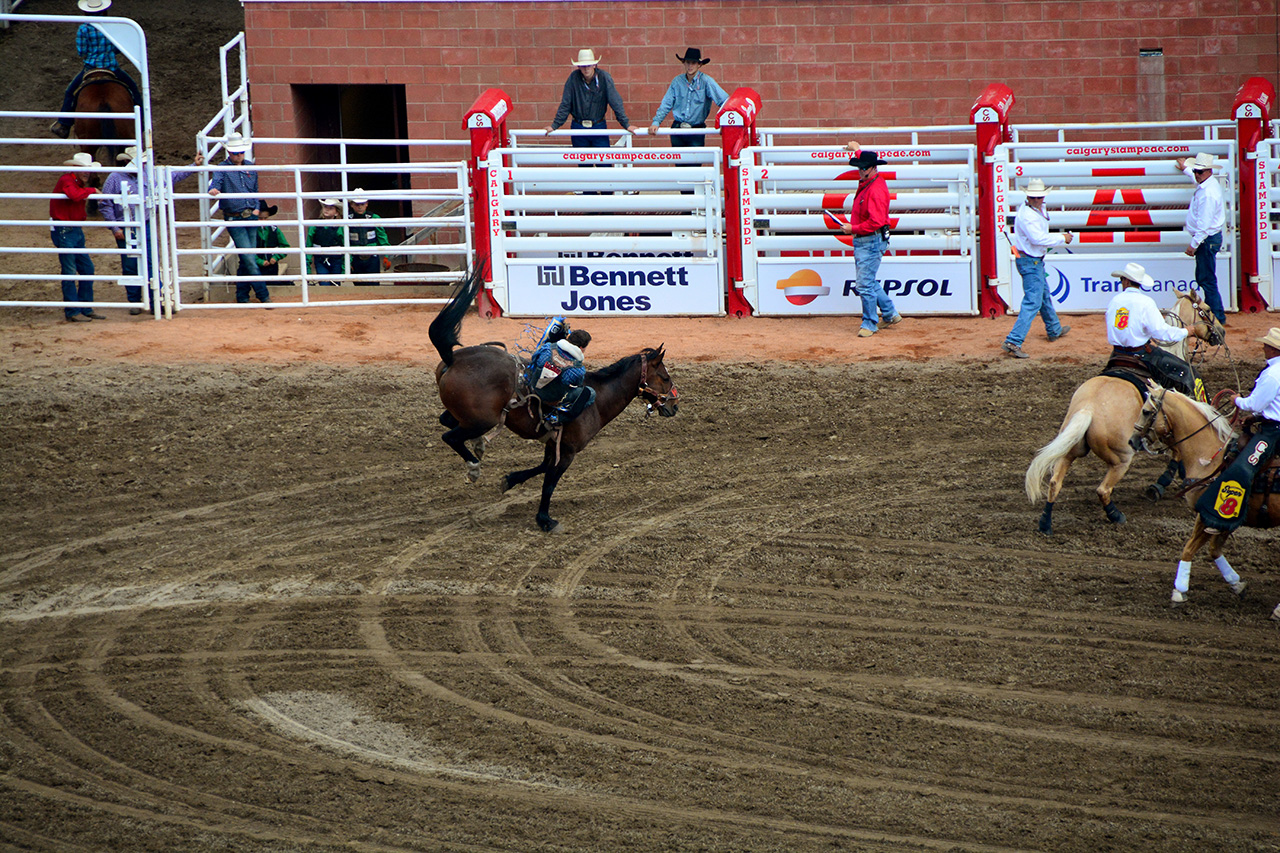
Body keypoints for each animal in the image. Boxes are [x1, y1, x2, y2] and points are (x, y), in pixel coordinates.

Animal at [430, 267, 680, 532]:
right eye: (665, 377)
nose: (674, 405)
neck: (598, 399)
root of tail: (454, 359)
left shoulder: (553, 443)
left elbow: (541, 468)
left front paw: (511, 479)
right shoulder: (568, 451)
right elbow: (549, 482)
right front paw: (545, 519)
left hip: (468, 415)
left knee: (447, 422)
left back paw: (477, 446)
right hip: (482, 420)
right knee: (450, 436)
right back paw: (474, 466)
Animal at [1024, 290, 1223, 532]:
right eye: (1208, 310)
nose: (1221, 332)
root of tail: (1088, 409)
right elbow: (1176, 453)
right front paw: (1161, 484)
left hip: (1071, 449)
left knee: (1055, 482)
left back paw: (1045, 523)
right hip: (1121, 459)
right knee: (1103, 490)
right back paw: (1116, 515)